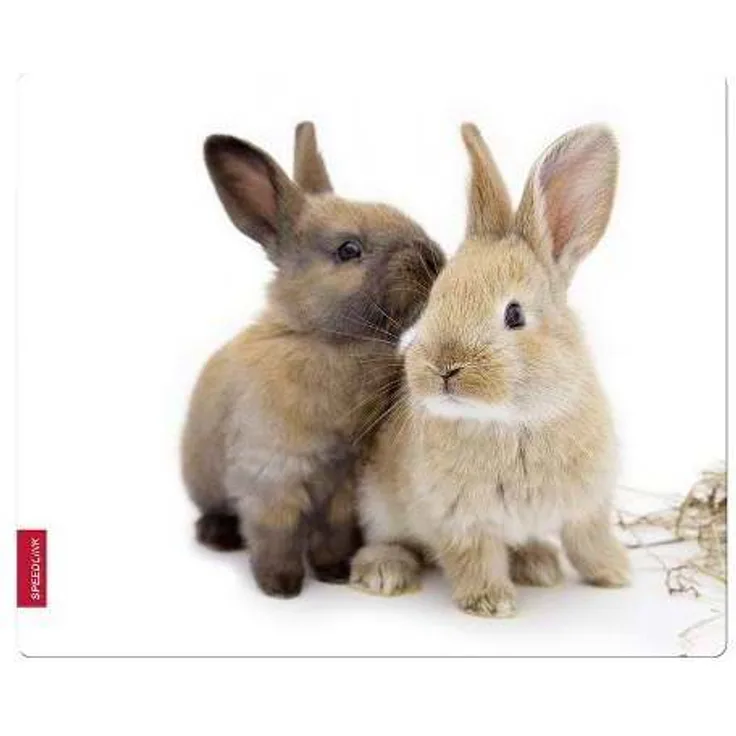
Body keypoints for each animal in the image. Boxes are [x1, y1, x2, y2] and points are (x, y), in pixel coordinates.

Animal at [181, 122, 444, 598]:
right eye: (348, 250)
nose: (433, 260)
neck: (328, 341)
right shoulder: (272, 478)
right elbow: (276, 536)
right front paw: (281, 586)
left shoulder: (343, 484)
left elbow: (332, 533)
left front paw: (336, 571)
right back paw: (219, 536)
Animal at [350, 122, 630, 617]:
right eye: (435, 300)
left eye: (514, 314)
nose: (444, 368)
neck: (514, 422)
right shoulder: (459, 520)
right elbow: (473, 557)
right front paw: (490, 602)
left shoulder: (589, 504)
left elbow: (588, 540)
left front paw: (615, 574)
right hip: (377, 504)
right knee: (386, 540)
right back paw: (385, 571)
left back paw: (539, 563)